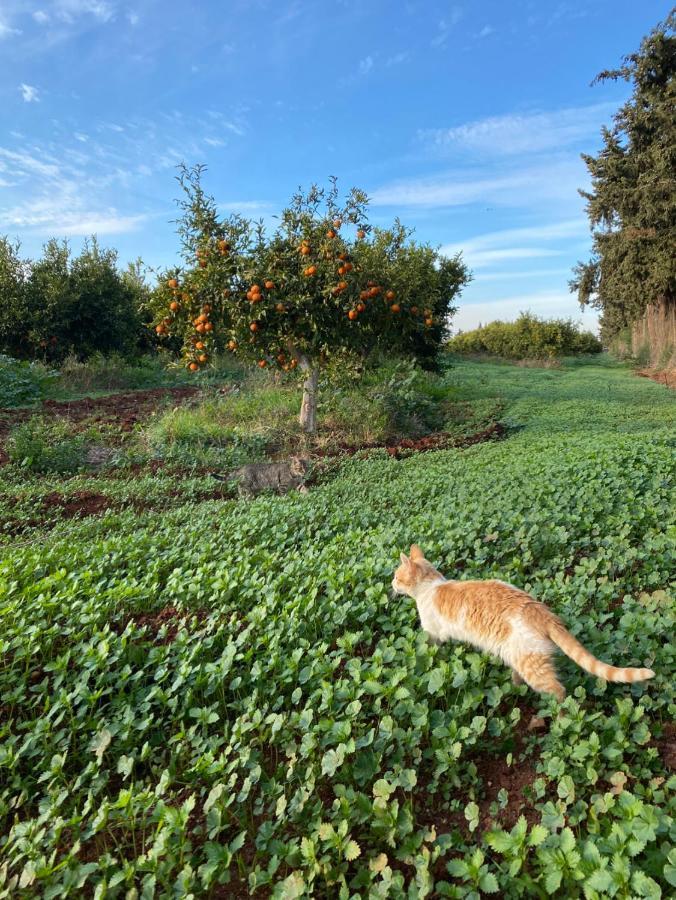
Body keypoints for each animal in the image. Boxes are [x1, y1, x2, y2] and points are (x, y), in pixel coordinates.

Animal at [390, 544, 656, 700]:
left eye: (396, 577)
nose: (391, 584)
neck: (431, 585)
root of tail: (541, 611)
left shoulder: (433, 635)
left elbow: (431, 650)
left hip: (533, 666)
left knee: (559, 692)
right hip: (516, 654)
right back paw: (515, 686)